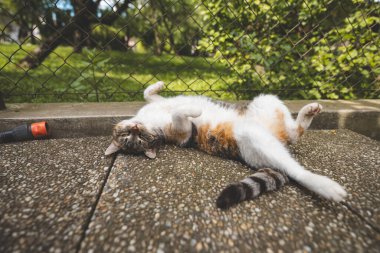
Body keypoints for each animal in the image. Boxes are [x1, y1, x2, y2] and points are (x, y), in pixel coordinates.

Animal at [104, 81, 348, 210]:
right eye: (132, 140)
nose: (136, 128)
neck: (151, 122)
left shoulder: (158, 104)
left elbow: (148, 93)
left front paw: (159, 85)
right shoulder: (184, 133)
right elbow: (179, 113)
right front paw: (193, 109)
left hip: (265, 100)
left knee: (294, 133)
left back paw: (308, 112)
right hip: (252, 138)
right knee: (294, 167)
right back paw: (325, 186)